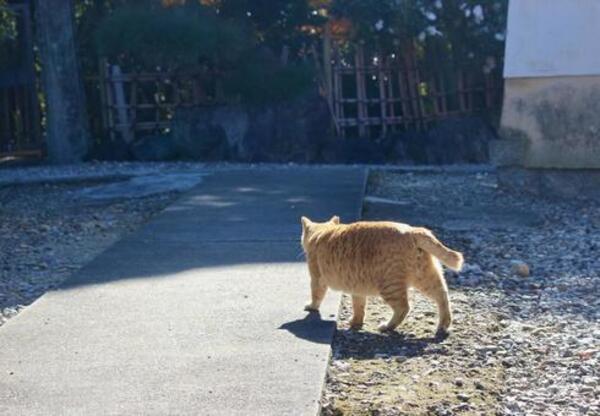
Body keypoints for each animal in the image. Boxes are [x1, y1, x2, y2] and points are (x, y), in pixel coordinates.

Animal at [300, 216, 464, 336]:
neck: (322, 232)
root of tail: (412, 231)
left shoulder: (317, 278)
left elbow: (316, 295)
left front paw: (311, 306)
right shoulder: (357, 289)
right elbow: (359, 306)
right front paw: (356, 323)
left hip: (390, 286)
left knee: (403, 308)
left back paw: (387, 326)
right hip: (426, 278)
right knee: (443, 296)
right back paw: (443, 325)